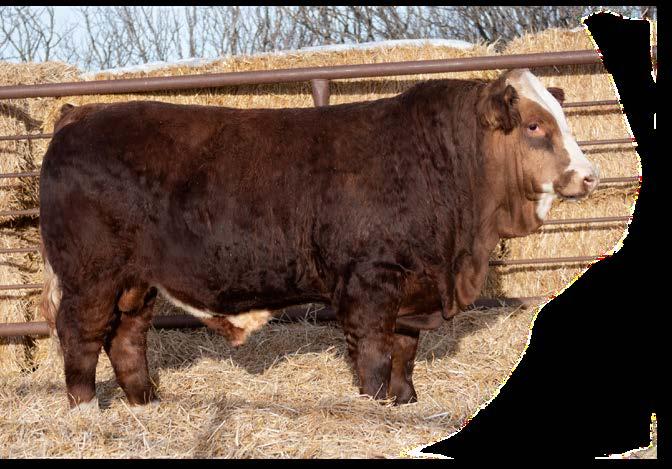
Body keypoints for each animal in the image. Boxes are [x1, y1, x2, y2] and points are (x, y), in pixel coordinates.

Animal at [39, 68, 599, 410]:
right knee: (81, 335)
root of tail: (79, 114)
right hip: (91, 275)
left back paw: (146, 403)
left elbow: (404, 350)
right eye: (534, 126)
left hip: (135, 281)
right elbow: (374, 354)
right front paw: (375, 406)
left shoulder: (411, 284)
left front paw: (406, 403)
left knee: (126, 338)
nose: (590, 176)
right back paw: (87, 410)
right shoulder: (370, 280)